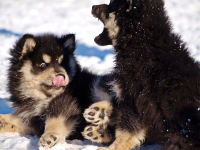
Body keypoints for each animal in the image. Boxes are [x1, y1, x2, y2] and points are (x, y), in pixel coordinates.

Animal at [82, 0, 200, 150]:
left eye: (112, 6)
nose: (93, 7)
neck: (141, 42)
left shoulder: (135, 98)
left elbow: (127, 130)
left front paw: (114, 147)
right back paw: (99, 115)